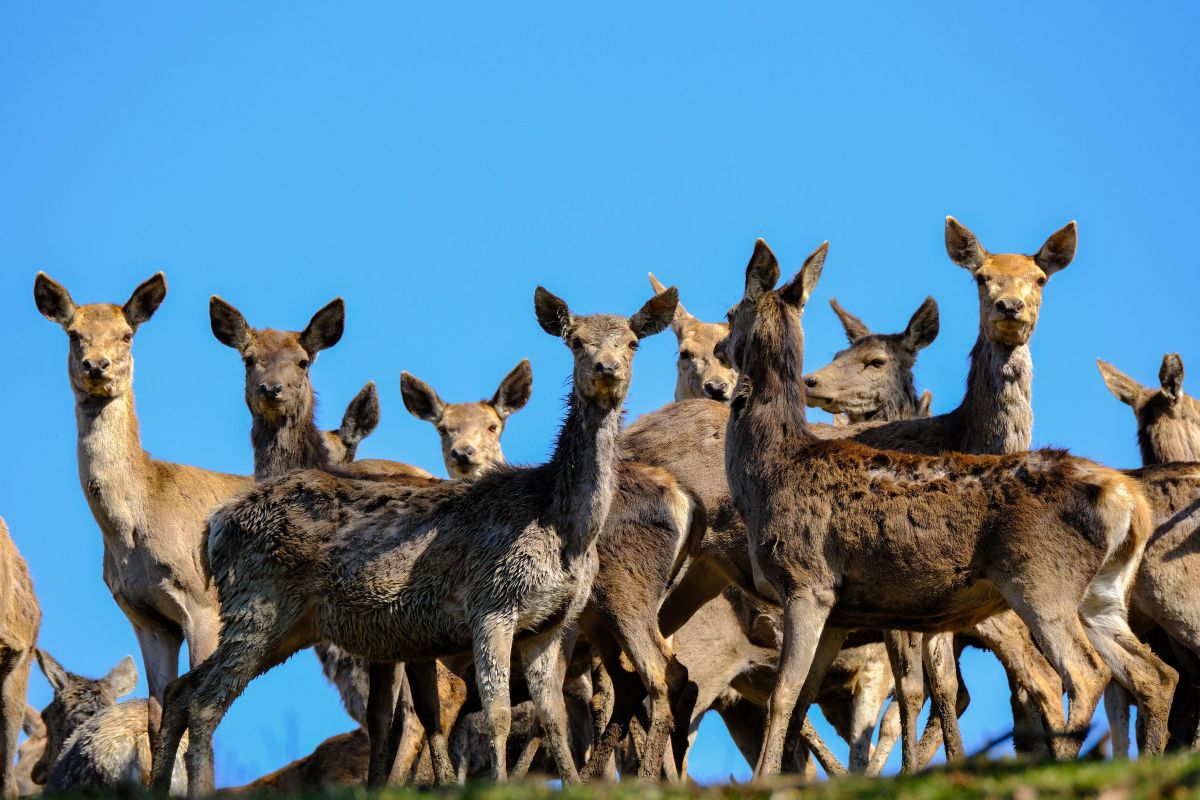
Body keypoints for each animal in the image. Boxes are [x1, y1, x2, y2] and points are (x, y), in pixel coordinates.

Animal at [150, 285, 679, 794]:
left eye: (632, 342)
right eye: (575, 342)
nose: (607, 369)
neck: (562, 525)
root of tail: (214, 525)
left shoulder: (548, 624)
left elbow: (549, 718)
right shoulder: (492, 603)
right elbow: (498, 715)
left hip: (286, 622)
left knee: (181, 692)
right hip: (258, 603)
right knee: (204, 702)